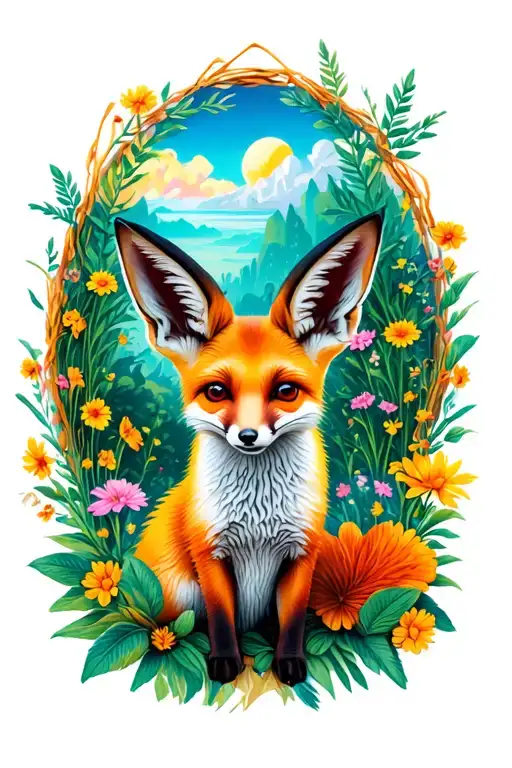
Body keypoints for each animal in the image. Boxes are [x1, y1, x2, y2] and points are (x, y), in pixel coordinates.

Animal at [114, 211, 382, 686]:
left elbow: (292, 620)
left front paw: (289, 663)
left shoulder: (301, 553)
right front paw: (225, 662)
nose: (249, 437)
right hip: (174, 594)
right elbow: (222, 617)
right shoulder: (210, 553)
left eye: (286, 391)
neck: (259, 519)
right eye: (217, 392)